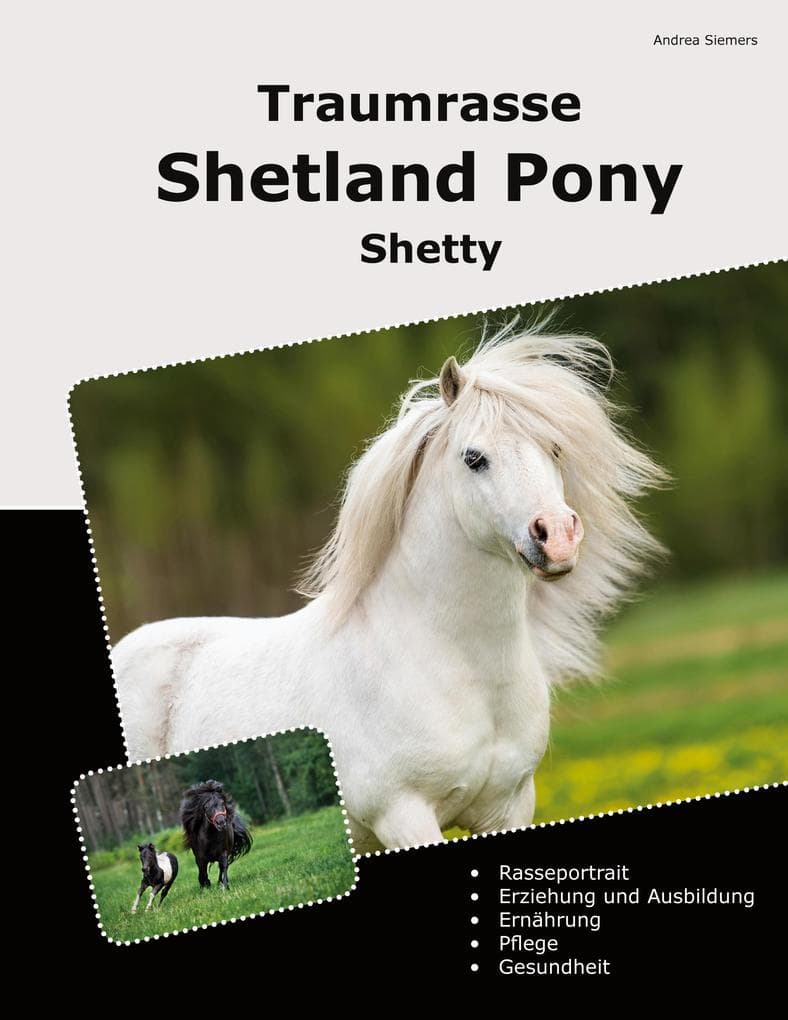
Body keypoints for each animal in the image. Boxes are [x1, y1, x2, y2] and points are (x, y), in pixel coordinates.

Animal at [114, 322, 666, 852]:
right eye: (473, 458)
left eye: (553, 447)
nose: (557, 538)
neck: (452, 664)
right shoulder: (403, 816)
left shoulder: (509, 806)